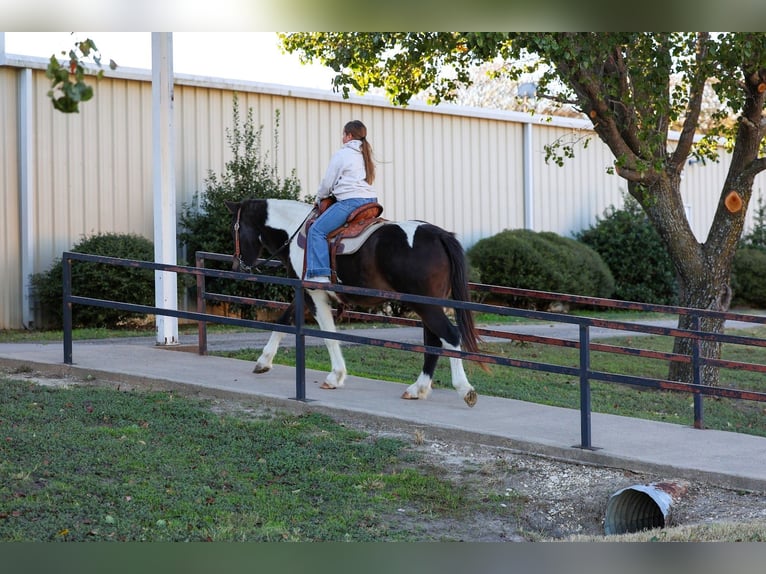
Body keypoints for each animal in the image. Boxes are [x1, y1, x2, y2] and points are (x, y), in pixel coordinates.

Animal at [225, 198, 481, 407]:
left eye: (234, 230)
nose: (237, 266)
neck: (294, 230)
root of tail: (439, 235)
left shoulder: (314, 294)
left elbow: (328, 334)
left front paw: (335, 376)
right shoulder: (304, 292)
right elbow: (283, 320)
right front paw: (263, 362)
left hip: (426, 305)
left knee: (449, 336)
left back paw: (464, 389)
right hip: (429, 304)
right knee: (434, 342)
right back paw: (418, 389)